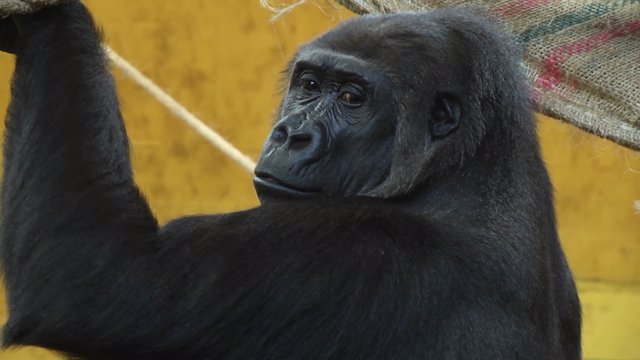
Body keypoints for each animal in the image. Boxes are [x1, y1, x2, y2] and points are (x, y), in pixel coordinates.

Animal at [0, 1, 580, 358]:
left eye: (351, 97)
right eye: (309, 85)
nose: (290, 135)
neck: (458, 169)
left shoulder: (364, 249)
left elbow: (92, 273)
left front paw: (50, 19)